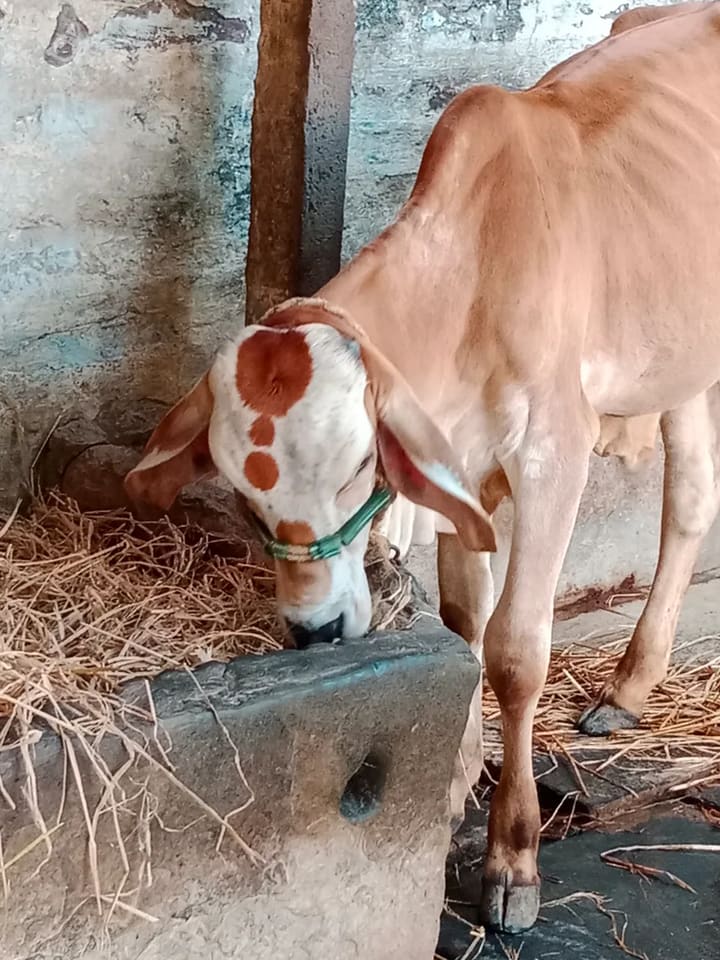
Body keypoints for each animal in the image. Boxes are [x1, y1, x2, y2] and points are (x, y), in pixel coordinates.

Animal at [125, 2, 720, 933]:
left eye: (358, 464)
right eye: (246, 499)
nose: (315, 632)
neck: (471, 283)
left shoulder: (553, 451)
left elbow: (514, 649)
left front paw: (513, 857)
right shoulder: (460, 470)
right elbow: (463, 623)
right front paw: (446, 787)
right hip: (682, 360)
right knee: (691, 498)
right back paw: (628, 689)